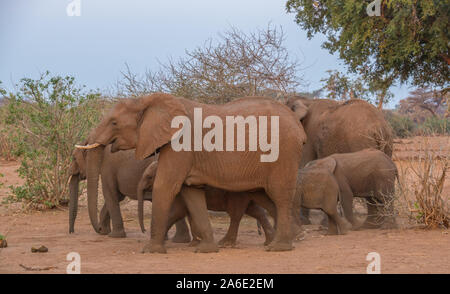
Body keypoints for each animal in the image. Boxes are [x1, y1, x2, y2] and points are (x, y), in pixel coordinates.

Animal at [137, 161, 278, 246]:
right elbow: (189, 213)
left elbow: (177, 212)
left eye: (149, 177)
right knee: (256, 211)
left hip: (237, 193)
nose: (143, 231)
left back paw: (225, 243)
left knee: (236, 215)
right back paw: (269, 242)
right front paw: (195, 243)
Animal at [284, 96, 394, 225]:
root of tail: (379, 126)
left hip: (361, 141)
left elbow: (305, 163)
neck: (307, 100)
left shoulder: (309, 136)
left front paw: (305, 222)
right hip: (387, 143)